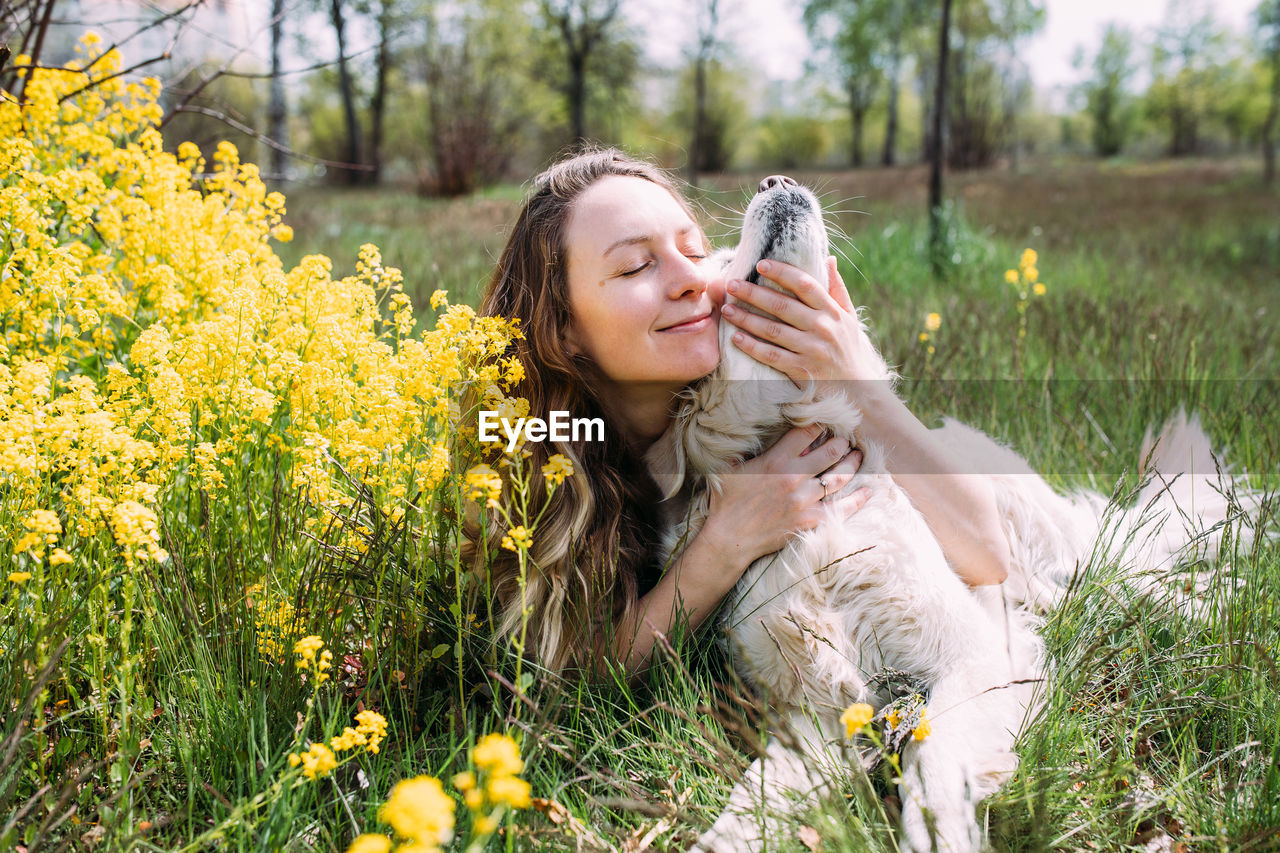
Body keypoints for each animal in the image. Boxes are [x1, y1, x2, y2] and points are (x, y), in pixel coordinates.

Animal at [645, 175, 1254, 845]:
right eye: (722, 266)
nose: (776, 182)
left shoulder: (972, 658)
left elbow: (931, 756)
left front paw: (941, 832)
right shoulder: (817, 714)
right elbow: (752, 801)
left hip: (1053, 544)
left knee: (1129, 574)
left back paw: (1211, 604)